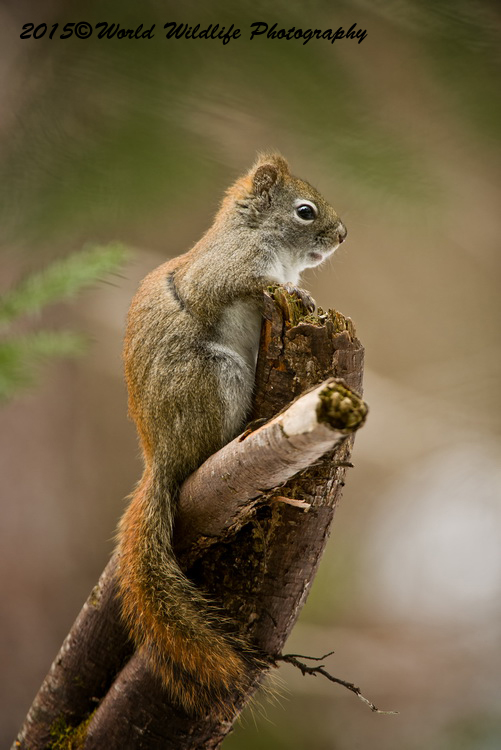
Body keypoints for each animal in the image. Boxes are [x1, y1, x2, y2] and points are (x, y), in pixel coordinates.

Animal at [117, 153, 347, 717]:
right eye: (305, 211)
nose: (342, 235)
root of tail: (161, 455)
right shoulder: (227, 269)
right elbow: (246, 283)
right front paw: (296, 291)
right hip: (216, 377)